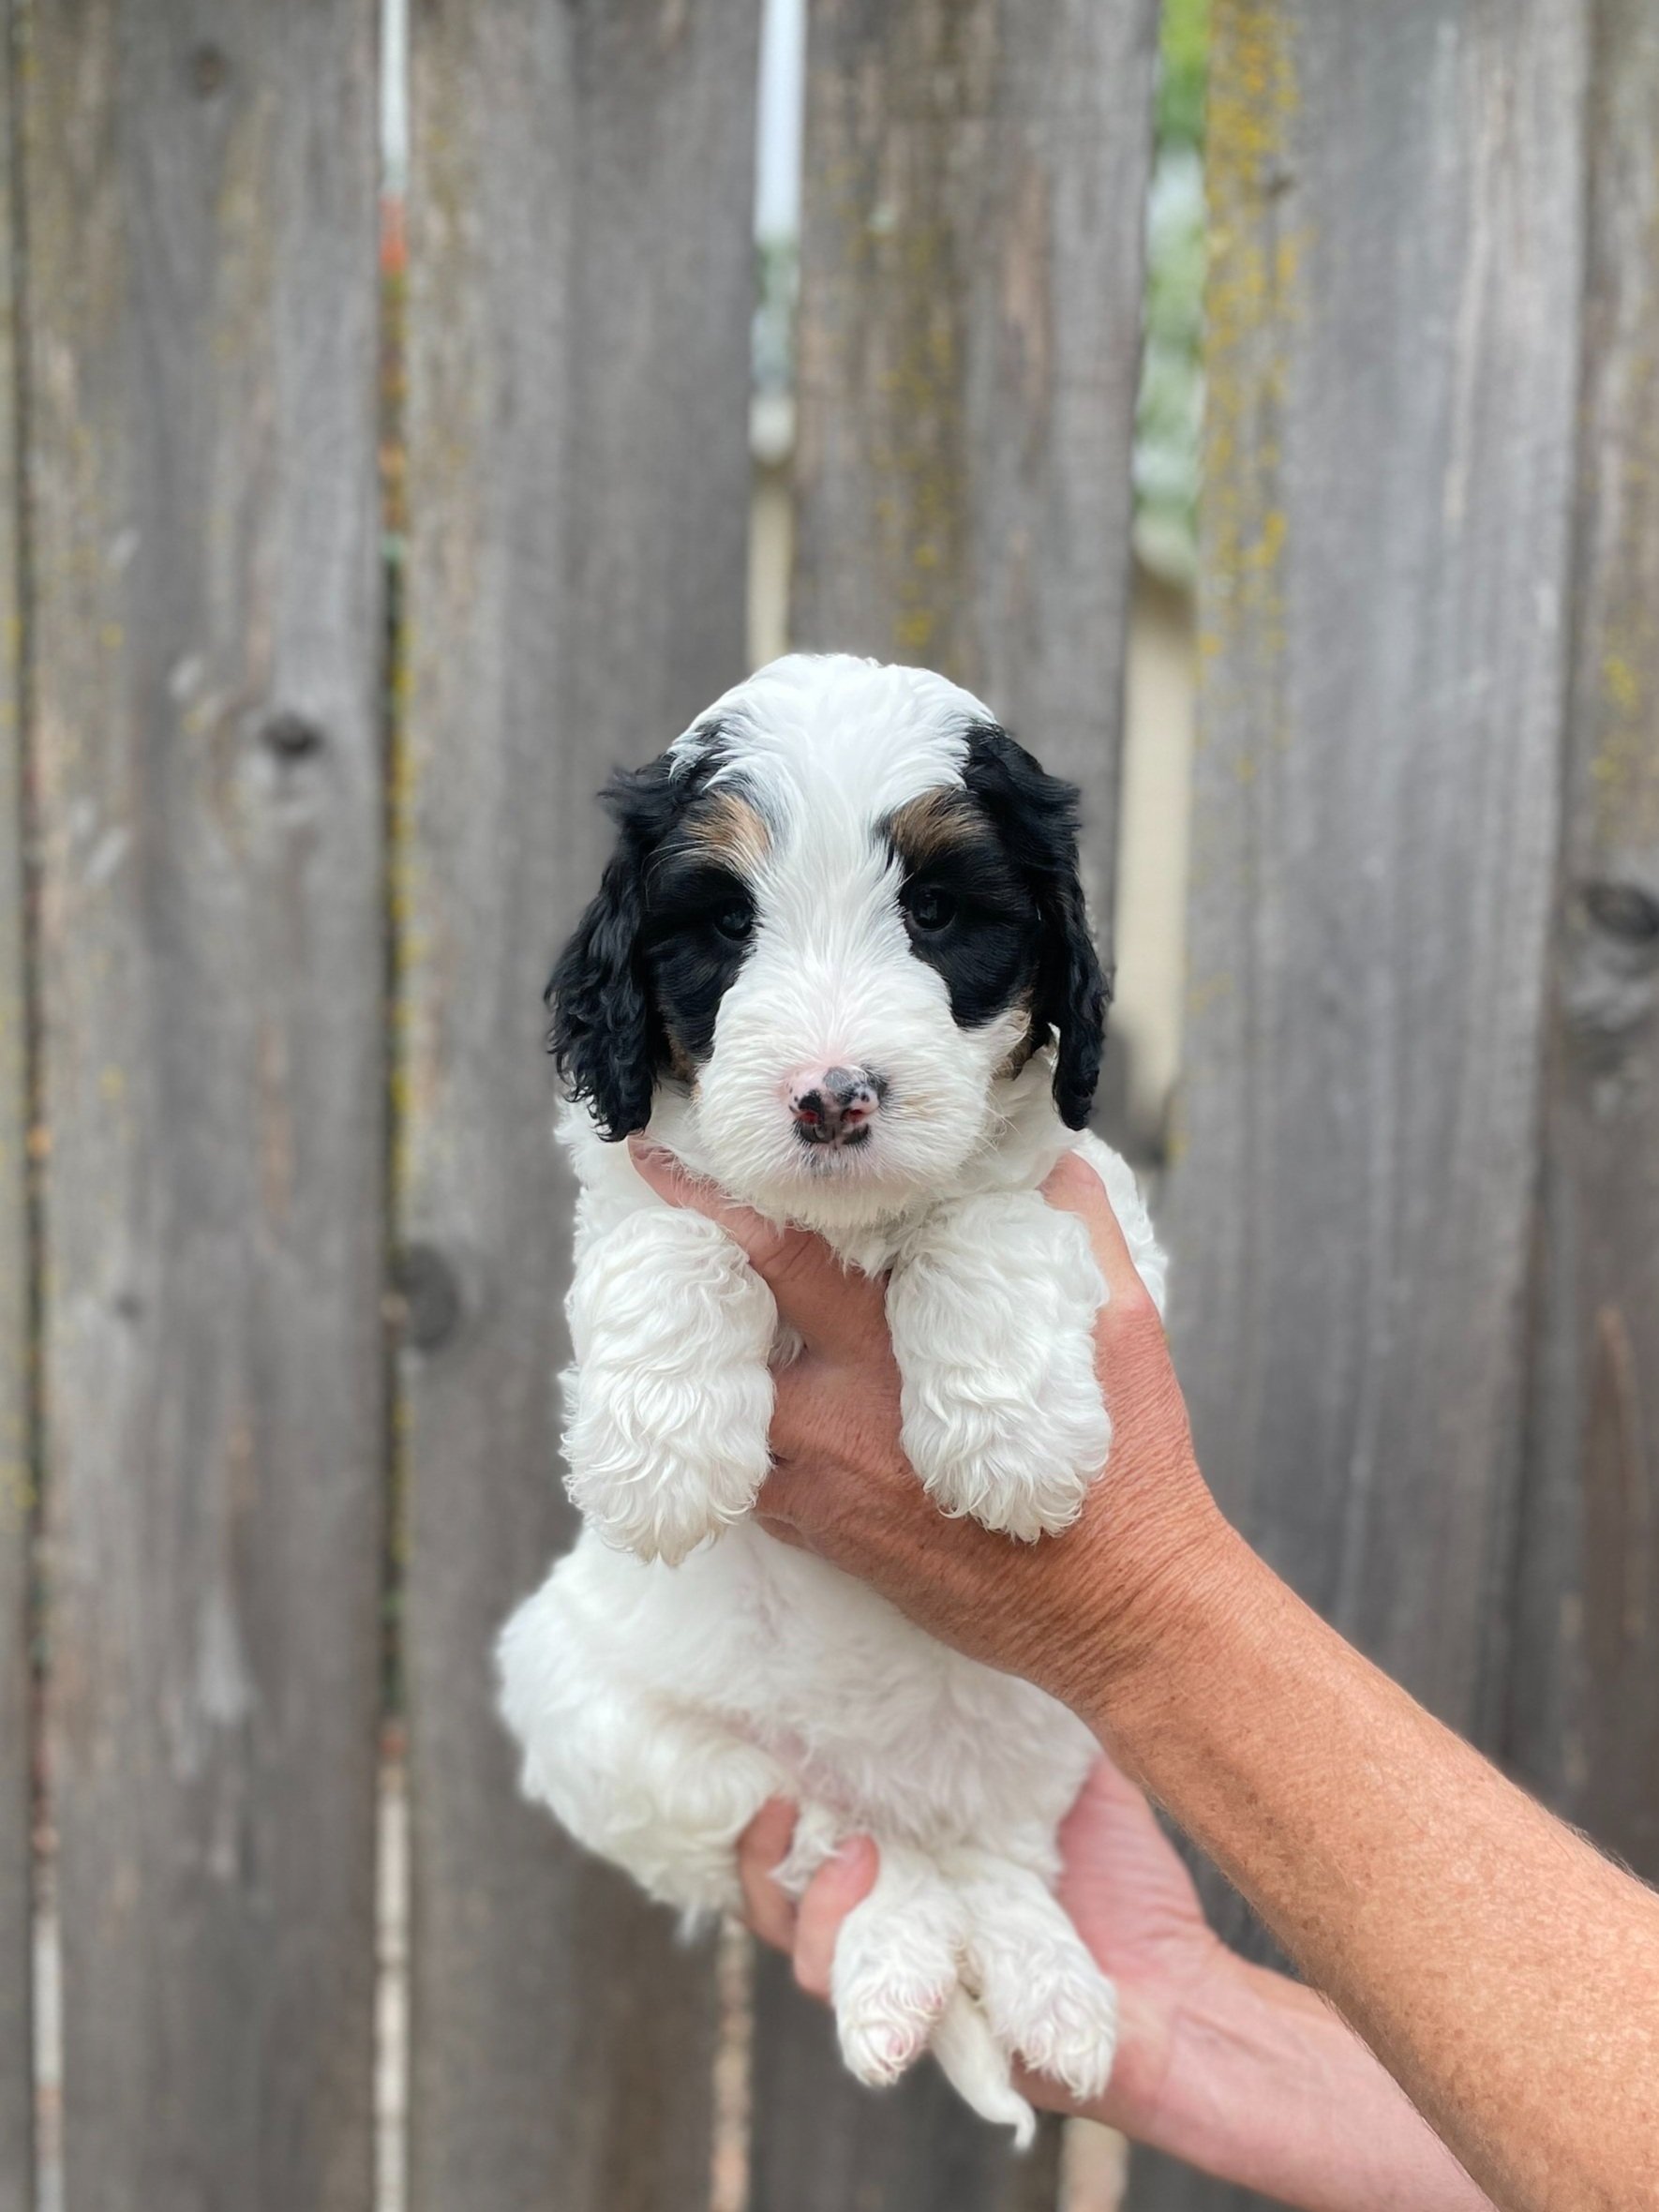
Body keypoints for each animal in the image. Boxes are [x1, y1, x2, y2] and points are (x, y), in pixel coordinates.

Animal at [500, 646, 1158, 2132]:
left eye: (935, 911)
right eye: (725, 925)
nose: (832, 1097)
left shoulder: (1102, 1218)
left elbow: (990, 1213)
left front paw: (1012, 1446)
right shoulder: (632, 1192)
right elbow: (680, 1240)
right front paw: (665, 1460)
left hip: (1048, 1731)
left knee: (996, 1864)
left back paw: (1053, 1990)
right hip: (617, 1733)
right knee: (844, 1852)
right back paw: (902, 1966)